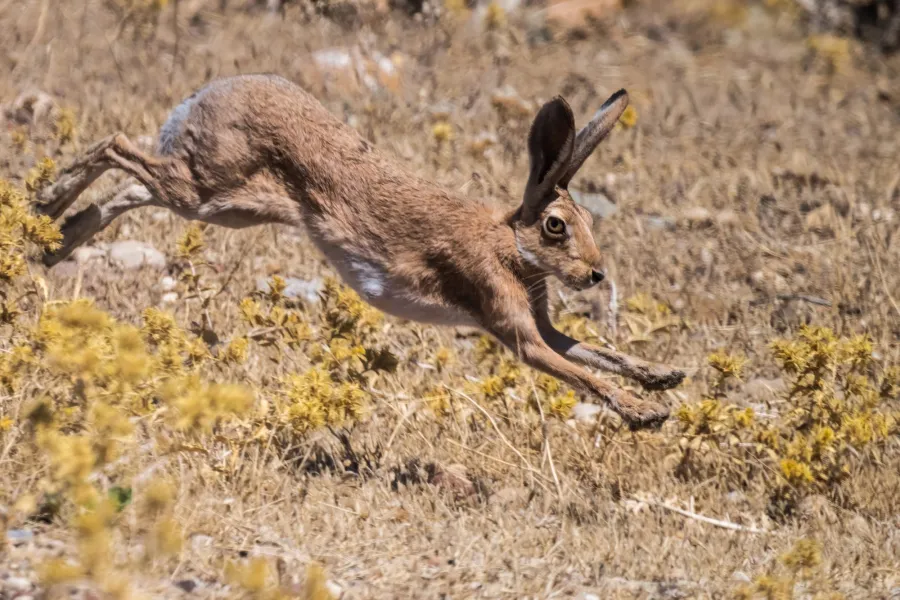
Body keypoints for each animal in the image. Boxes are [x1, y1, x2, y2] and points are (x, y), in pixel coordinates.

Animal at [34, 73, 684, 429]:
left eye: (583, 221)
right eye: (555, 226)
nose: (595, 275)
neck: (509, 244)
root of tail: (202, 96)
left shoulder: (540, 326)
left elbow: (595, 353)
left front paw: (663, 378)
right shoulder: (515, 330)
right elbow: (579, 371)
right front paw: (645, 415)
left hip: (226, 203)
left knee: (132, 184)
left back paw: (53, 242)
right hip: (209, 191)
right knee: (117, 147)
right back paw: (43, 207)